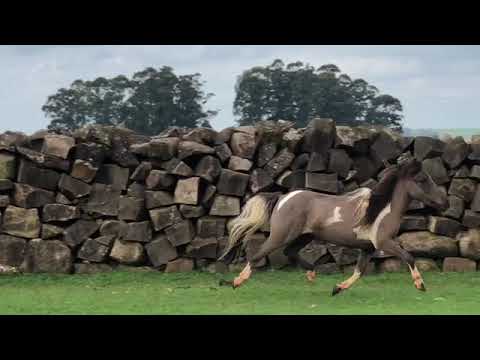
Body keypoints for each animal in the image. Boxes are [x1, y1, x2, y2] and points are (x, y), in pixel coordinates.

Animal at [218, 160, 450, 296]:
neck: (382, 209)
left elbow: (359, 271)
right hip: (281, 235)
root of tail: (282, 197)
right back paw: (236, 282)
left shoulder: (368, 248)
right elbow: (409, 257)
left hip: (304, 236)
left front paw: (337, 288)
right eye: (422, 179)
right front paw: (420, 285)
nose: (445, 203)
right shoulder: (384, 242)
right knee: (258, 254)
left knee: (289, 252)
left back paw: (311, 274)